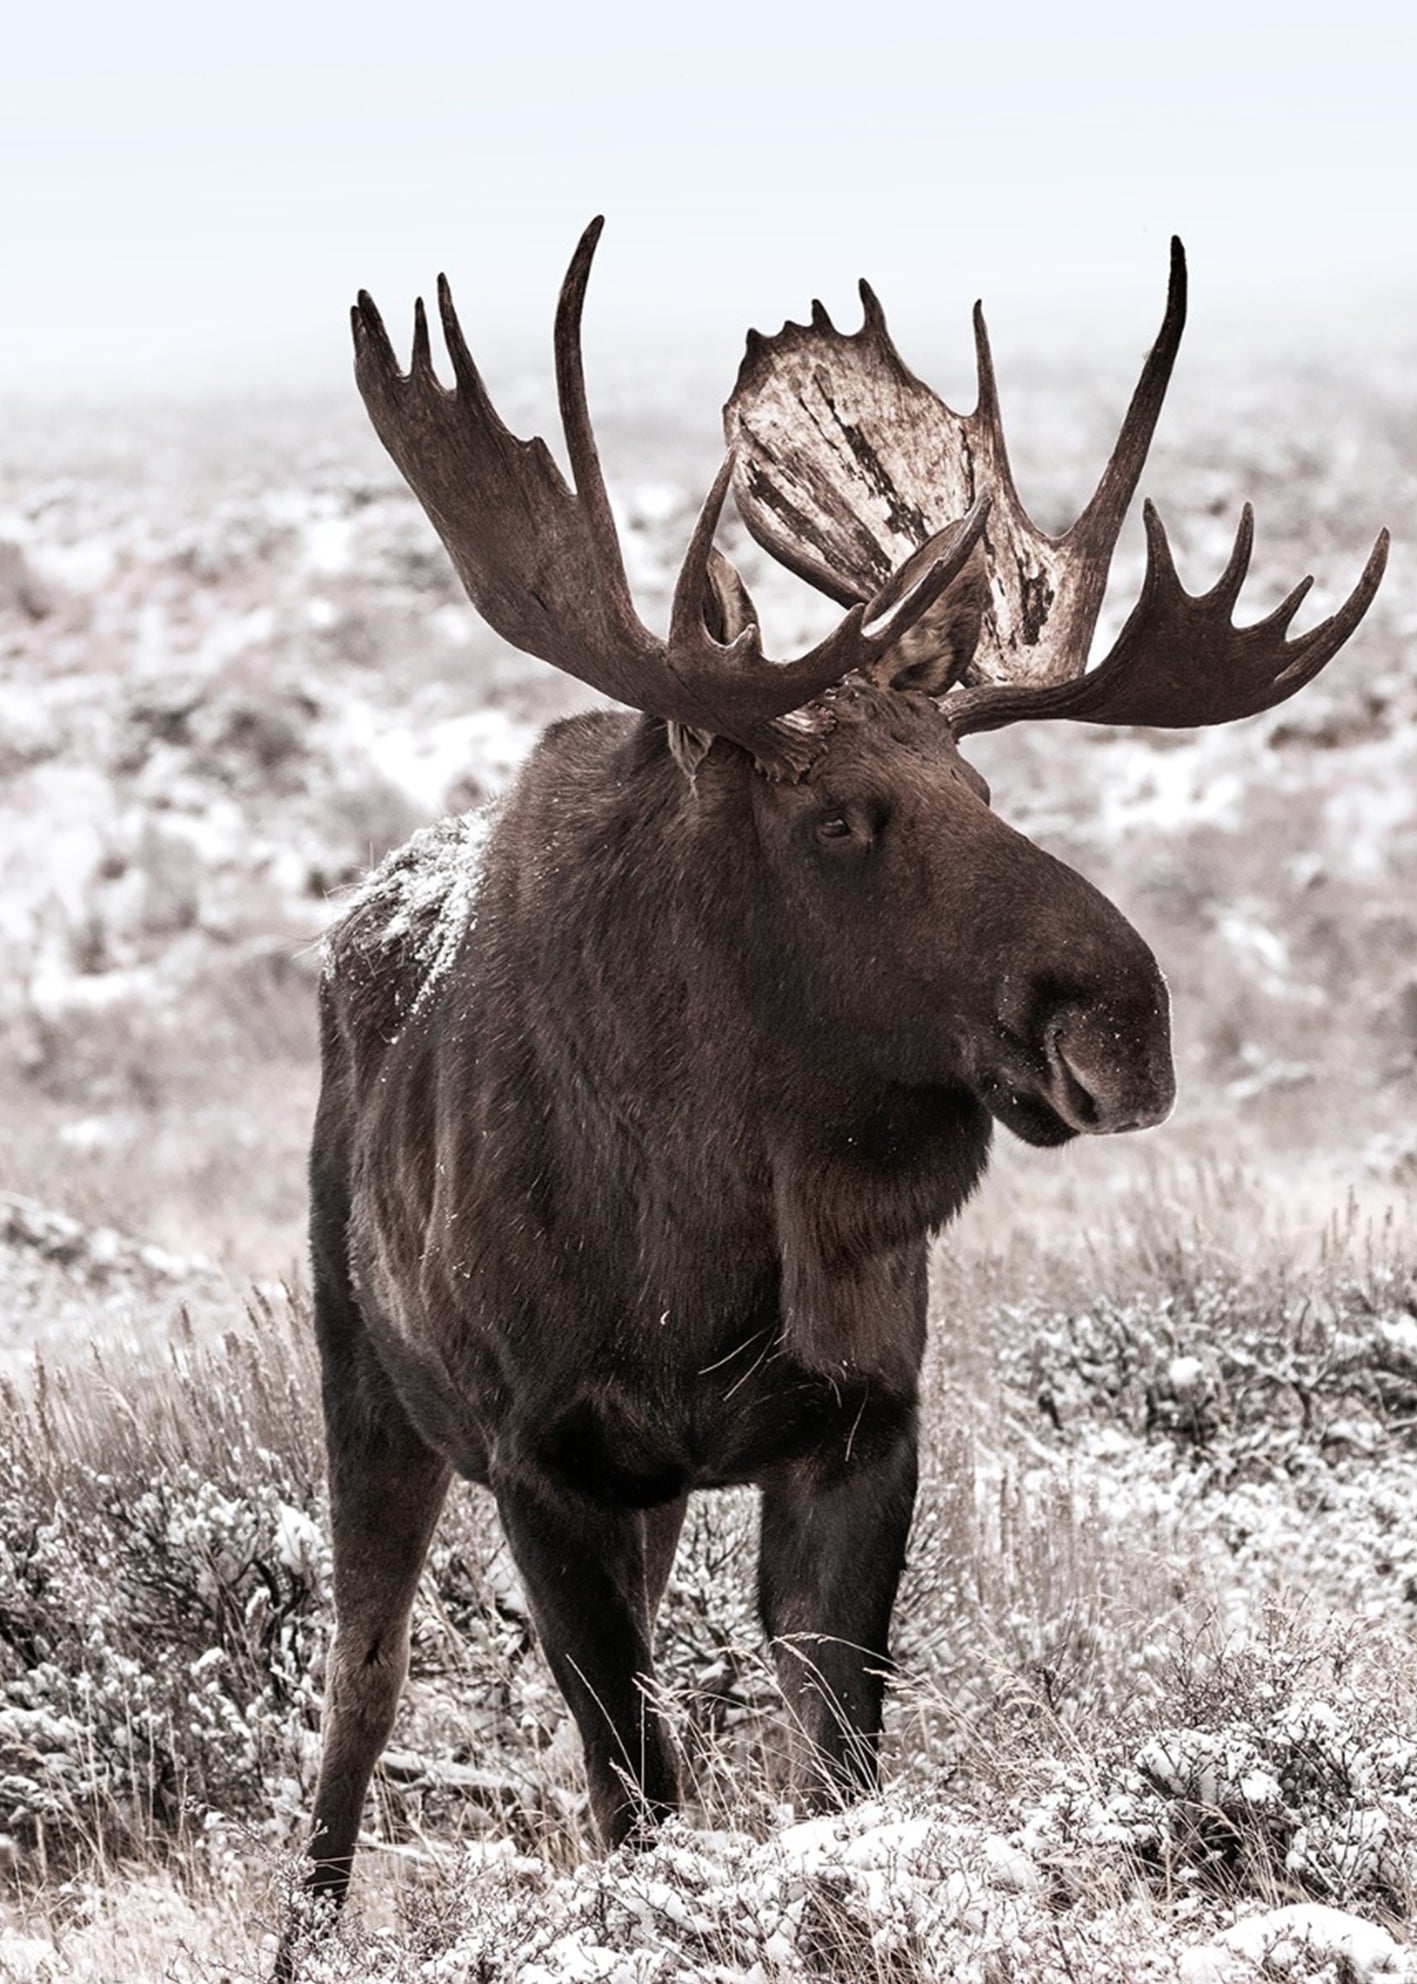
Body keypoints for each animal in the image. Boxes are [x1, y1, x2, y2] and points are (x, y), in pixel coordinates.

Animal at [292, 219, 1387, 1946]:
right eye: (839, 819)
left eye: (984, 786)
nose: (1123, 1019)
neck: (698, 1249)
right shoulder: (541, 1453)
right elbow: (635, 1788)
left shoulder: (861, 1424)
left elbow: (834, 1768)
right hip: (366, 1383)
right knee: (363, 1677)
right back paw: (310, 1918)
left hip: (643, 1487)